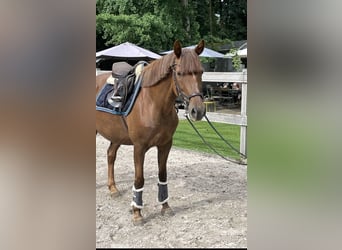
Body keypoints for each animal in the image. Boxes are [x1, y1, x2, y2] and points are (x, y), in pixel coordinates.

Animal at [95, 39, 204, 225]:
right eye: (180, 73)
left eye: (201, 72)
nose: (198, 111)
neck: (152, 103)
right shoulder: (139, 147)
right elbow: (139, 179)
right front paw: (137, 212)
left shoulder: (165, 145)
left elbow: (162, 174)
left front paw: (165, 206)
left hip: (116, 135)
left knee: (110, 155)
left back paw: (113, 188)